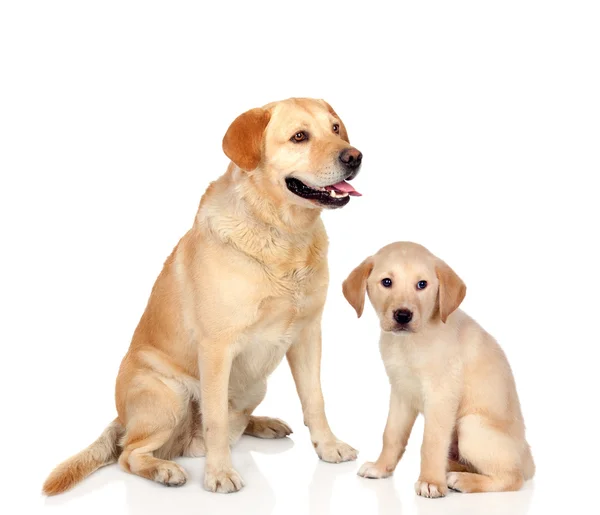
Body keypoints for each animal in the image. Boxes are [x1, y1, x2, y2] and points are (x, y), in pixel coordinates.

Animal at [43, 97, 360, 496]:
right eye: (299, 137)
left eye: (335, 129)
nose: (355, 156)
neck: (283, 234)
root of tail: (121, 417)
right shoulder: (217, 347)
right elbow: (216, 419)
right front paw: (219, 473)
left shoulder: (307, 334)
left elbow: (315, 398)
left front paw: (328, 446)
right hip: (168, 395)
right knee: (128, 453)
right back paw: (164, 469)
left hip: (254, 384)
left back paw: (263, 423)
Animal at [342, 244, 536, 498]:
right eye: (386, 282)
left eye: (422, 284)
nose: (403, 315)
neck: (409, 344)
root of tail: (528, 458)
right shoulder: (401, 392)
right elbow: (391, 434)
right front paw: (381, 467)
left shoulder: (440, 396)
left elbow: (431, 442)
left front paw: (431, 482)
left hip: (471, 426)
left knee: (512, 477)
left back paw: (462, 480)